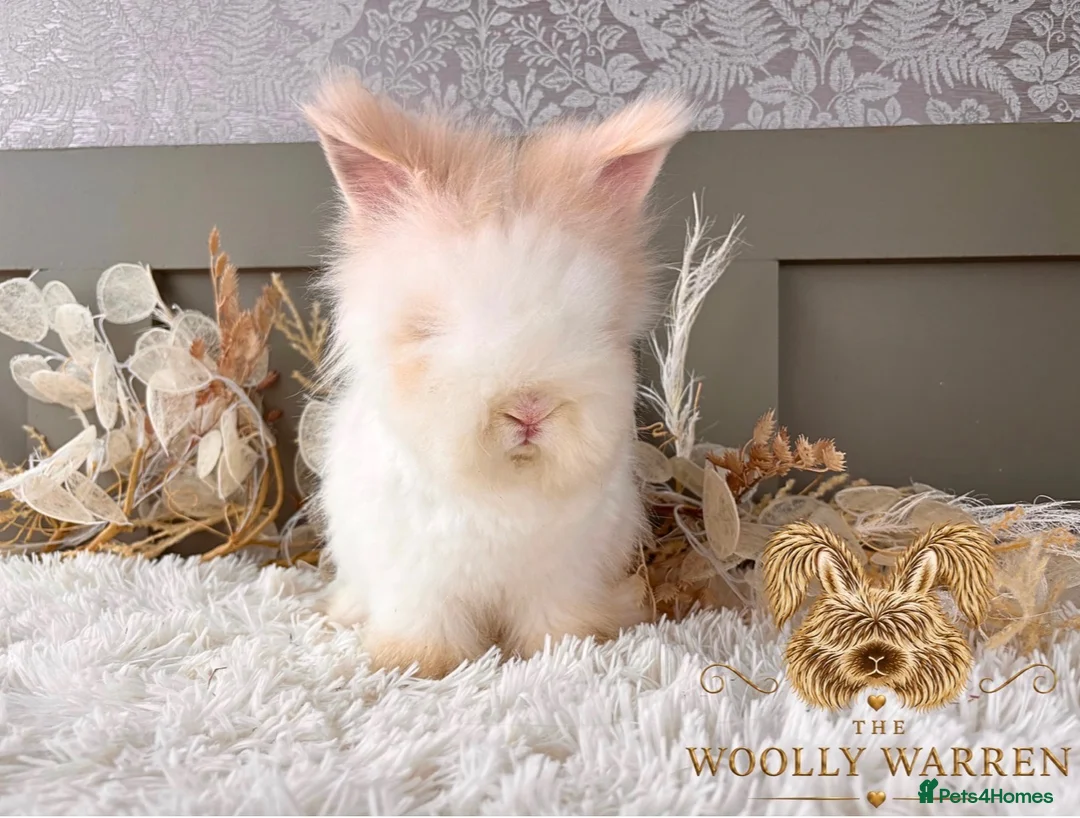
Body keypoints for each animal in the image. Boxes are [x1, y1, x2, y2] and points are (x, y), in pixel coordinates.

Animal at [301, 69, 690, 678]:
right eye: (430, 329)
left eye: (594, 326)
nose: (529, 410)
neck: (500, 493)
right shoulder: (418, 581)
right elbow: (425, 625)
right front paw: (419, 664)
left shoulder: (562, 576)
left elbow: (554, 620)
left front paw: (568, 649)